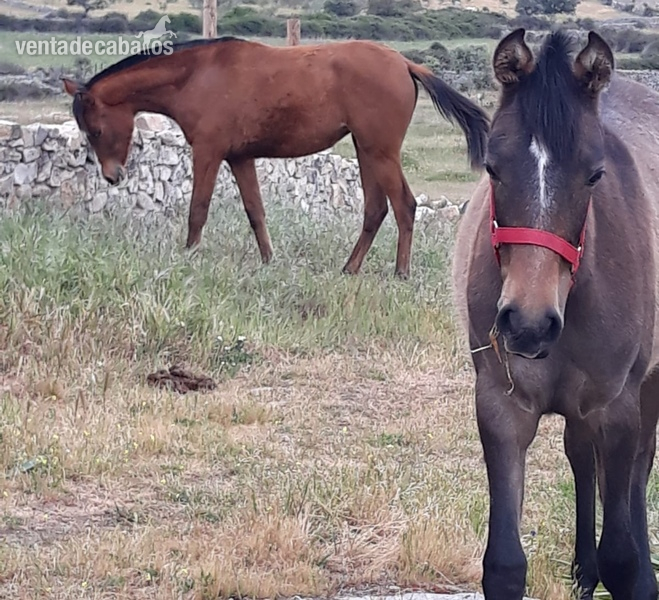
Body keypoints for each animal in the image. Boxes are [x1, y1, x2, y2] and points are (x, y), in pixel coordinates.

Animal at [62, 36, 489, 279]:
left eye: (95, 131)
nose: (112, 176)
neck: (198, 75)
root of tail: (404, 63)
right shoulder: (240, 158)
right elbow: (256, 212)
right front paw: (269, 261)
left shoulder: (208, 152)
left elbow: (198, 209)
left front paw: (189, 257)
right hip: (366, 150)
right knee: (376, 209)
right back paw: (350, 269)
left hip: (379, 151)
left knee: (403, 205)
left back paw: (400, 273)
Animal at [452, 28, 659, 599]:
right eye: (492, 168)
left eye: (595, 175)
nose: (528, 324)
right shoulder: (502, 408)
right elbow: (504, 566)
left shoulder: (616, 409)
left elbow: (622, 556)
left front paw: (635, 573)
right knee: (580, 456)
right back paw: (583, 571)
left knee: (637, 468)